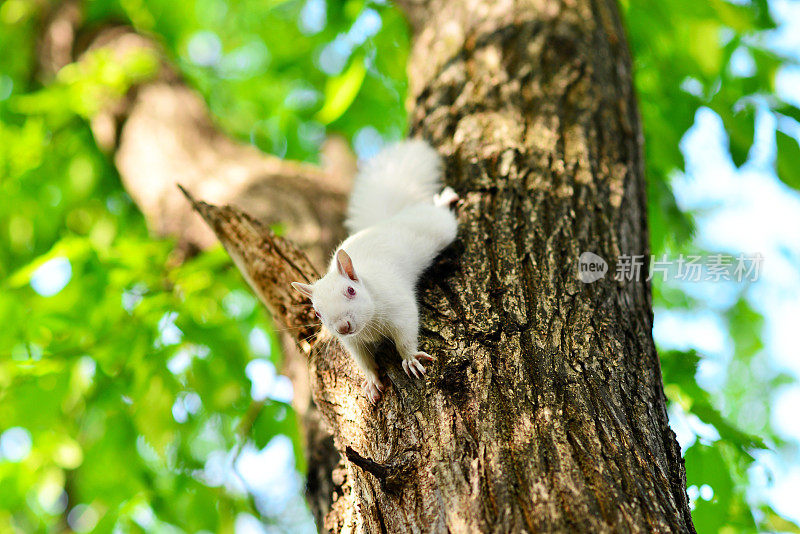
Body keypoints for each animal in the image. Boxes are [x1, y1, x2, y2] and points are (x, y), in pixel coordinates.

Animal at [292, 140, 456, 404]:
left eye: (351, 290)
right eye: (317, 313)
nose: (343, 327)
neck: (368, 325)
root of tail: (388, 220)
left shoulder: (400, 308)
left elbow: (406, 334)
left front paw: (410, 358)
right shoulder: (353, 342)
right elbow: (364, 361)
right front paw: (371, 381)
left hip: (439, 227)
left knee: (441, 213)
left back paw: (445, 198)